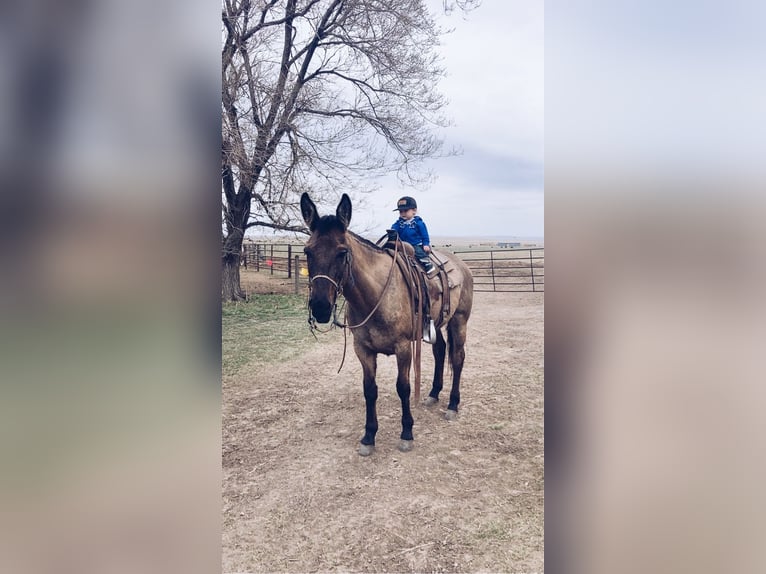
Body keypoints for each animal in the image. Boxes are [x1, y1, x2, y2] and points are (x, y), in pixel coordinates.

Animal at [300, 192, 474, 456]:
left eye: (342, 252)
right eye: (308, 251)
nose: (320, 306)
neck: (375, 295)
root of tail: (461, 265)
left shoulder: (403, 349)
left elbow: (403, 388)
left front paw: (407, 433)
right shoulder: (363, 349)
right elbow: (369, 390)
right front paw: (369, 436)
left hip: (459, 320)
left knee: (458, 357)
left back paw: (453, 404)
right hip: (435, 325)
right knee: (440, 350)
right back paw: (434, 393)